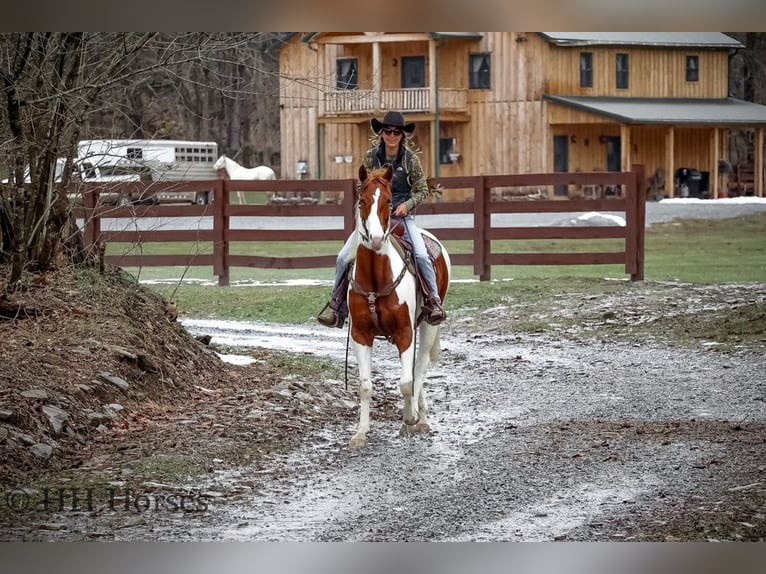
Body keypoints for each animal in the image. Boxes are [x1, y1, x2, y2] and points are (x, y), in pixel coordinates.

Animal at [347, 164, 451, 449]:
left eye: (389, 201)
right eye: (361, 201)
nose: (375, 238)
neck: (376, 279)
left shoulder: (406, 332)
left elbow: (406, 381)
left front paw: (409, 418)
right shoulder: (361, 335)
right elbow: (365, 385)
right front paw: (360, 432)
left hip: (428, 326)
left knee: (420, 367)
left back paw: (420, 418)